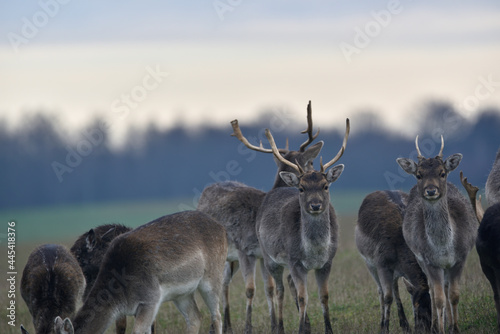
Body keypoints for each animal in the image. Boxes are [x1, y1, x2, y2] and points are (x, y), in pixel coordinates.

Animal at [54, 211, 227, 334]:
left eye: (79, 258)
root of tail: (221, 227)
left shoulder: (149, 300)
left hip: (213, 278)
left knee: (216, 315)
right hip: (181, 295)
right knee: (195, 318)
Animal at [197, 102, 322, 334]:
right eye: (309, 163)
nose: (315, 176)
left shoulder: (264, 255)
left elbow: (270, 288)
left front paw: (274, 325)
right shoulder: (245, 249)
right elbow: (250, 289)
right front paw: (248, 327)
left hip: (230, 259)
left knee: (225, 283)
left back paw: (228, 325)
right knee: (219, 284)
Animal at [256, 118, 350, 332]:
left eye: (325, 185)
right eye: (301, 188)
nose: (315, 205)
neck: (314, 250)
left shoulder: (327, 262)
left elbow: (324, 296)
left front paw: (328, 329)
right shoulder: (295, 261)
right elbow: (302, 297)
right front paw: (301, 329)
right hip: (269, 257)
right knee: (279, 290)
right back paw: (279, 327)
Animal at [356, 189, 434, 332]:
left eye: (432, 308)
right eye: (416, 306)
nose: (423, 329)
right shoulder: (382, 263)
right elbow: (387, 297)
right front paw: (384, 329)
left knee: (395, 287)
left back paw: (404, 324)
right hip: (369, 263)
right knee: (380, 290)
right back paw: (383, 323)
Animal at [394, 136, 476, 334]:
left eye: (442, 173)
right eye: (419, 174)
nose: (431, 190)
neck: (444, 247)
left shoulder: (461, 257)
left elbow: (454, 295)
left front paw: (455, 328)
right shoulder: (430, 261)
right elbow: (438, 298)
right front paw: (439, 328)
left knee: (446, 288)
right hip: (422, 260)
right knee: (432, 289)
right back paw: (435, 325)